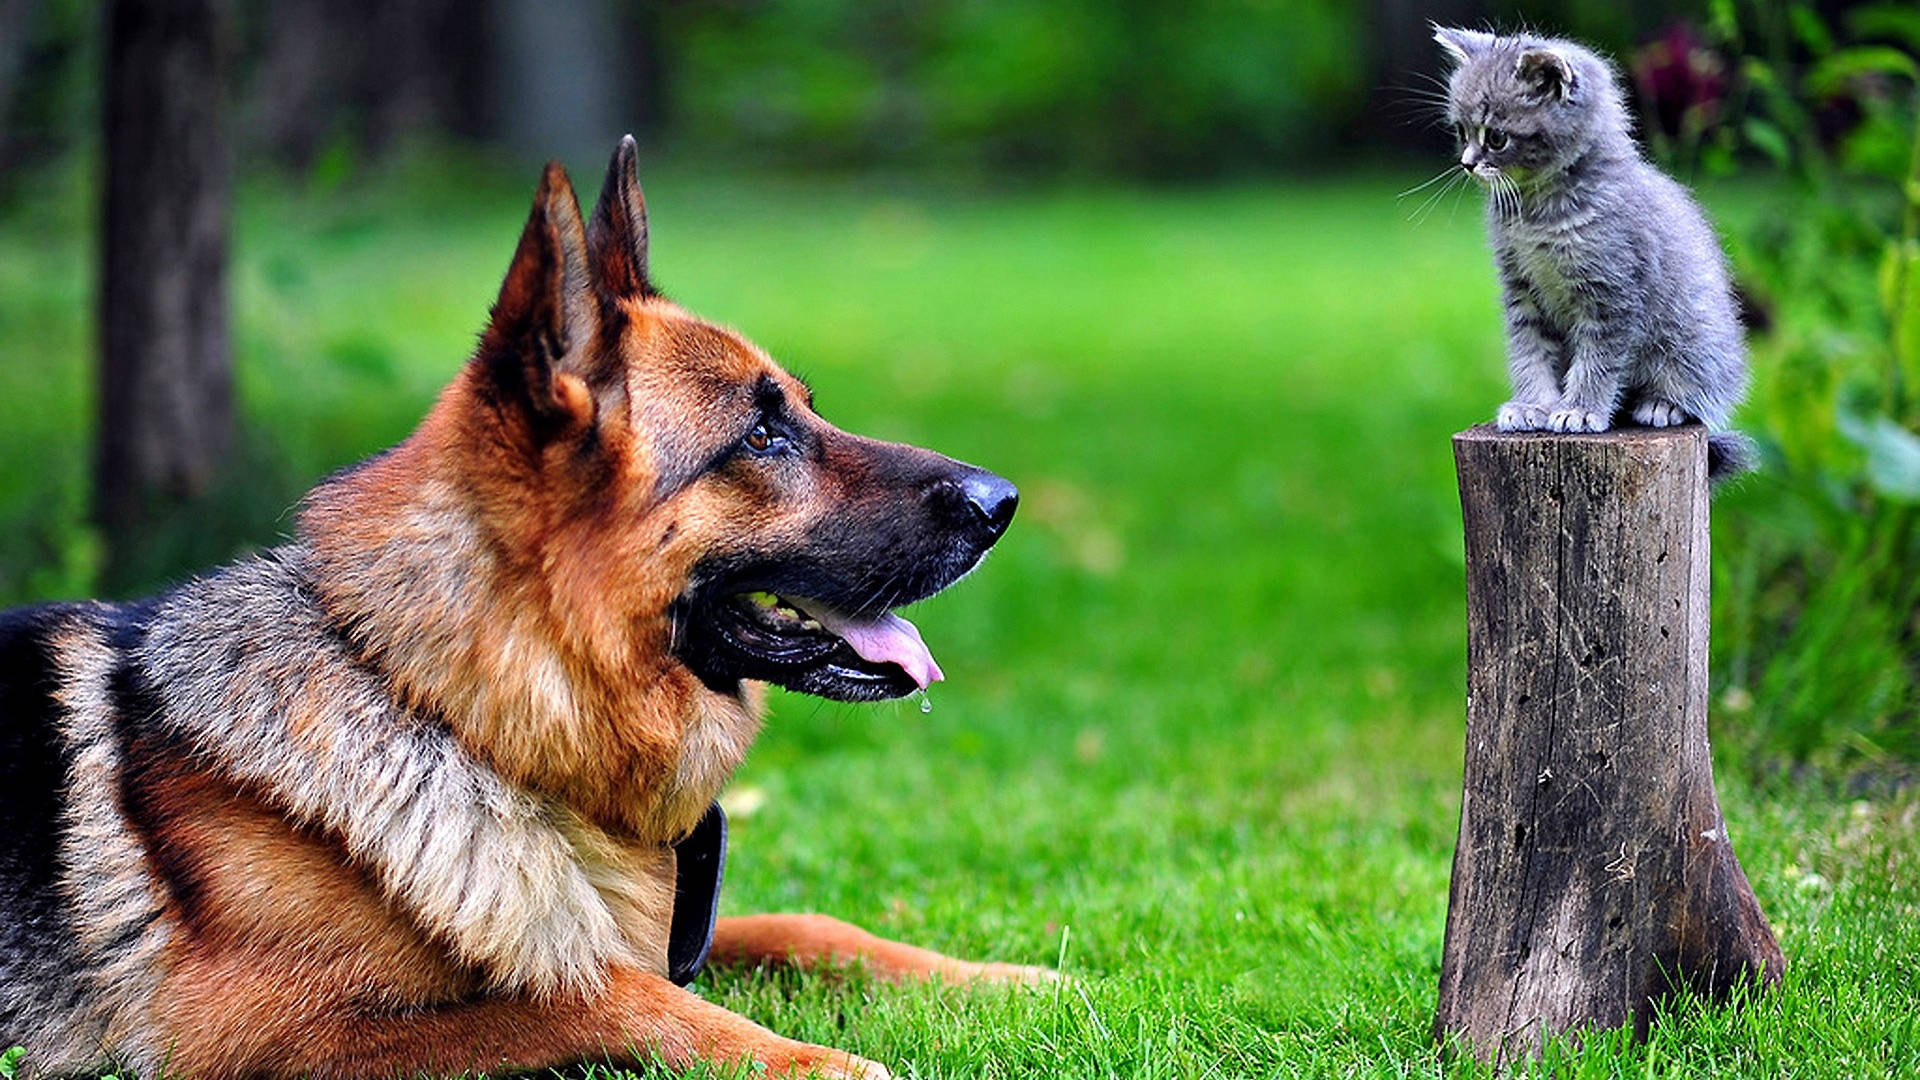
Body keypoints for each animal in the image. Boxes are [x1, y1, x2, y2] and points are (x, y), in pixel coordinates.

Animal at [0, 138, 1044, 1068]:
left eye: (805, 410)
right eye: (760, 436)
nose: (1004, 502)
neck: (449, 711)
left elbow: (800, 923)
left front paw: (1004, 978)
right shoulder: (255, 1035)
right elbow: (601, 993)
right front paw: (821, 1062)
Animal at [1443, 21, 1758, 472]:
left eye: (1497, 138)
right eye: (1461, 132)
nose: (1467, 163)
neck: (1537, 214)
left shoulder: (1613, 293)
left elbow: (1597, 360)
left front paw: (1579, 410)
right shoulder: (1521, 290)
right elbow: (1530, 351)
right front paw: (1533, 405)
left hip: (1695, 337)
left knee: (1702, 388)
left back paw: (1663, 404)